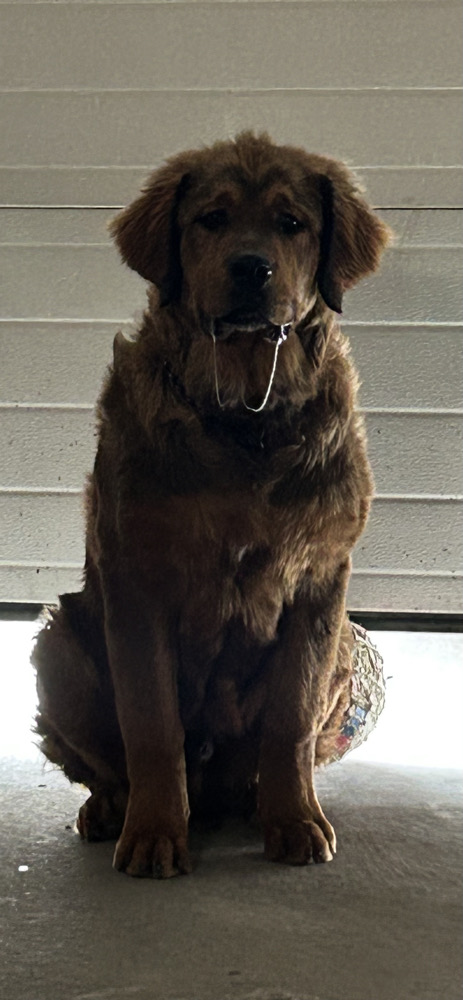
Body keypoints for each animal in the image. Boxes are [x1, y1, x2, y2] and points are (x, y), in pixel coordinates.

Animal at [32, 131, 391, 878]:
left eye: (291, 223)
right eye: (211, 220)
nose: (251, 268)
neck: (243, 415)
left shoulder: (320, 583)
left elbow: (289, 720)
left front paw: (294, 821)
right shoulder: (137, 578)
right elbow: (151, 722)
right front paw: (153, 833)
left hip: (342, 640)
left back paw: (261, 803)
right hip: (61, 641)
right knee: (106, 763)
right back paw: (110, 810)